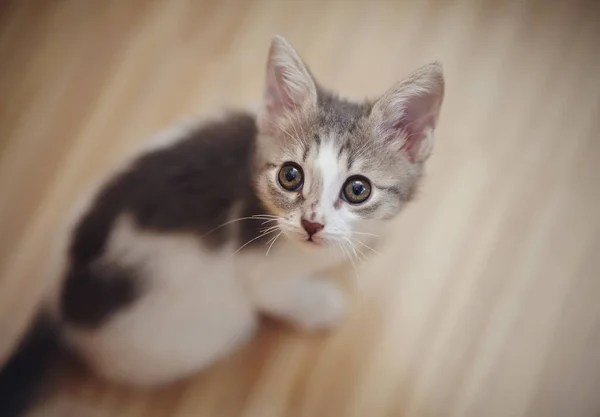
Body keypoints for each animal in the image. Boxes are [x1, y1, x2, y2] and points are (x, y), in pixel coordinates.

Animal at [0, 35, 440, 412]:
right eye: (291, 176)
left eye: (357, 189)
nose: (311, 224)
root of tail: (60, 300)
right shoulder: (253, 268)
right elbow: (275, 293)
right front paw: (318, 305)